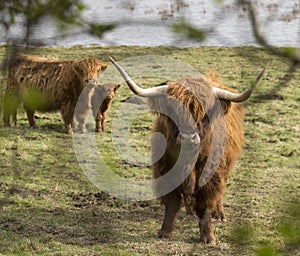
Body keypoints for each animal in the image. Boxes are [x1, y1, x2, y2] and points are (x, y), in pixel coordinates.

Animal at [108, 56, 268, 244]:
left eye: (204, 114)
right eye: (173, 110)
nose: (188, 138)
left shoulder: (211, 173)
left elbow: (206, 203)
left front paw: (208, 237)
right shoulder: (166, 169)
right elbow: (172, 202)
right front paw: (165, 232)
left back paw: (219, 214)